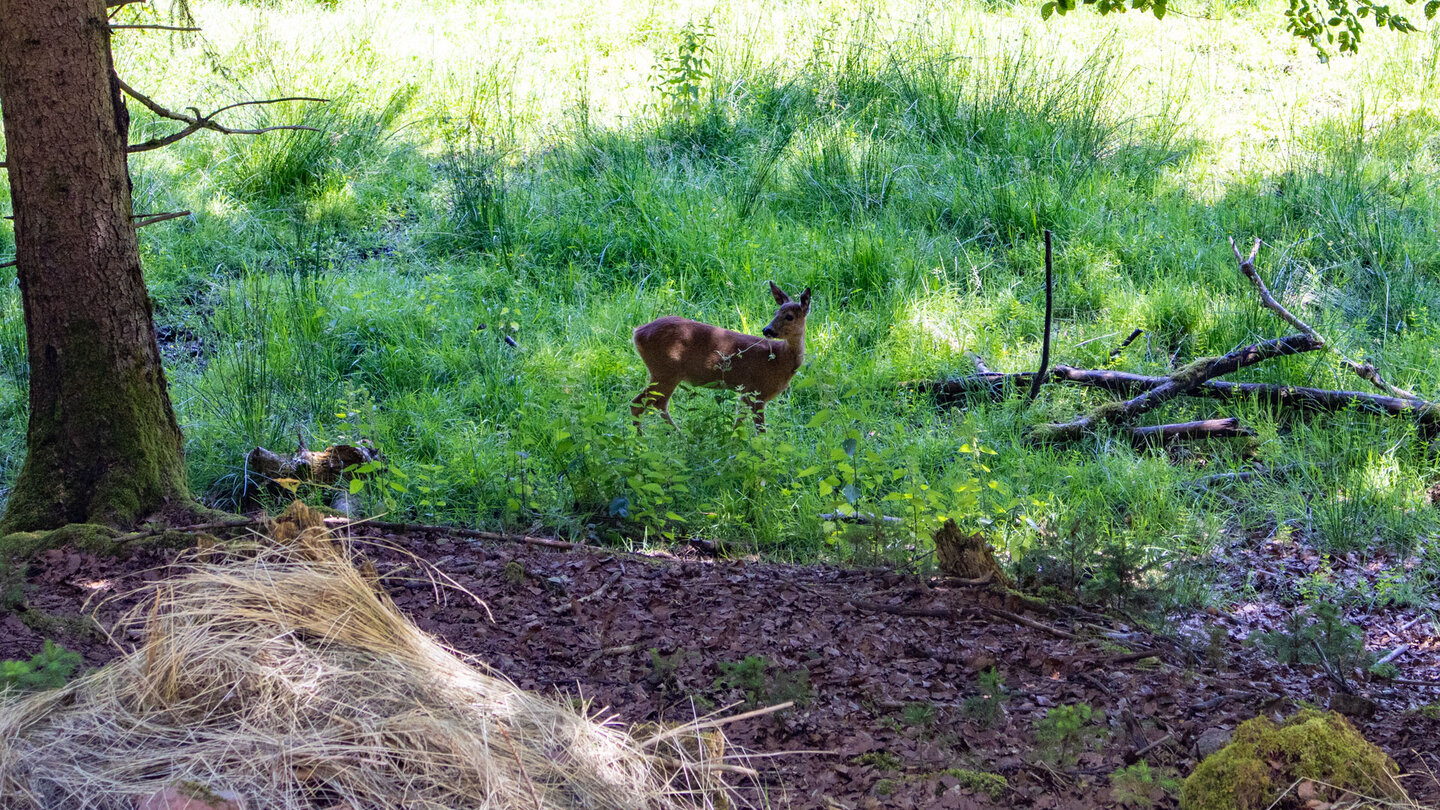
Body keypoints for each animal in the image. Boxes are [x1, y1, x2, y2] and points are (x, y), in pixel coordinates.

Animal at [630, 279, 812, 432]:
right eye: (775, 313)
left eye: (789, 316)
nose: (767, 330)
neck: (780, 360)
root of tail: (637, 332)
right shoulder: (757, 392)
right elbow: (760, 431)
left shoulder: (744, 392)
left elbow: (738, 423)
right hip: (665, 370)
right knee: (639, 403)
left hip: (664, 372)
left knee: (657, 404)